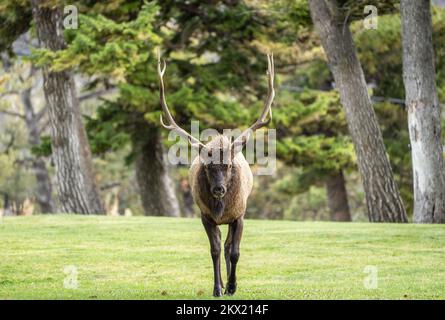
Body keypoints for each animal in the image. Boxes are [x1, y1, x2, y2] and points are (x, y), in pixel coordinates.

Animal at [156, 53, 274, 298]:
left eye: (228, 165)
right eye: (208, 167)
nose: (218, 189)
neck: (221, 208)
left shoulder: (240, 215)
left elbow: (235, 251)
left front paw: (232, 285)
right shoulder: (206, 216)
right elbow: (214, 250)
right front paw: (217, 288)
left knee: (229, 247)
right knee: (222, 246)